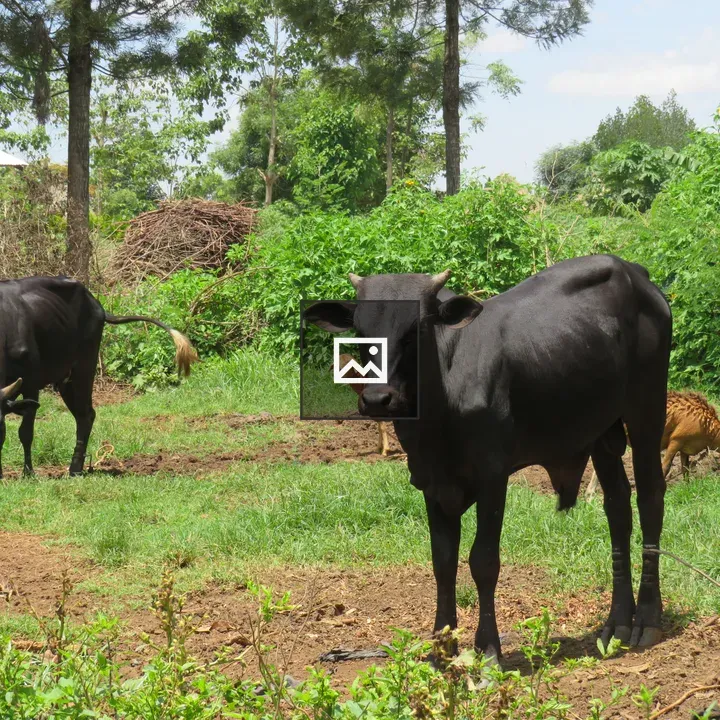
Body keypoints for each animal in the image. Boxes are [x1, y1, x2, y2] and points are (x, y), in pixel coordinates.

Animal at [0, 276, 198, 478]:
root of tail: (95, 303)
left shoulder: (31, 384)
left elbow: (25, 432)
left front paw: (28, 473)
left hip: (85, 367)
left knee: (85, 415)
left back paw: (75, 468)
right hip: (67, 379)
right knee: (84, 414)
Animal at [304, 254, 672, 668]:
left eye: (417, 328)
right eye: (362, 331)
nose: (378, 398)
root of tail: (634, 272)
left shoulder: (493, 478)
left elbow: (483, 561)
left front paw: (489, 649)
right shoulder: (432, 483)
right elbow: (443, 562)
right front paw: (441, 651)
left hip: (646, 410)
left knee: (650, 498)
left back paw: (646, 619)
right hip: (600, 430)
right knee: (618, 508)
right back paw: (617, 623)